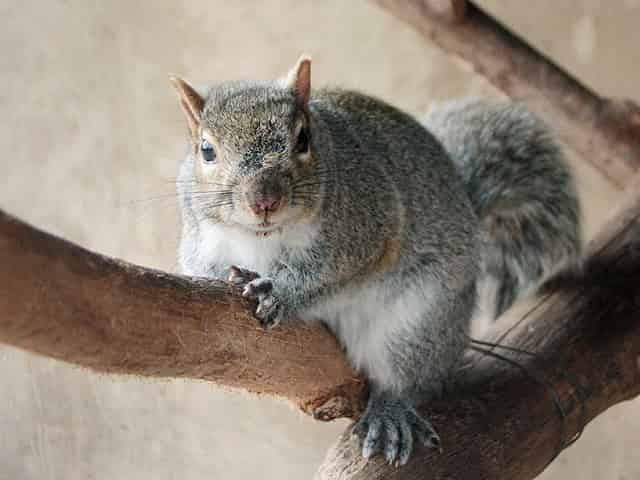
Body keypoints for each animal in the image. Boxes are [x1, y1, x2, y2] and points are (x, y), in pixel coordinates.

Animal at [169, 56, 580, 464]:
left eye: (303, 139)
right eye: (206, 150)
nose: (264, 200)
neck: (262, 239)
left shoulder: (369, 230)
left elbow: (330, 275)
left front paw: (277, 291)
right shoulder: (200, 241)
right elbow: (201, 270)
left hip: (419, 319)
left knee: (410, 376)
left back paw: (390, 409)